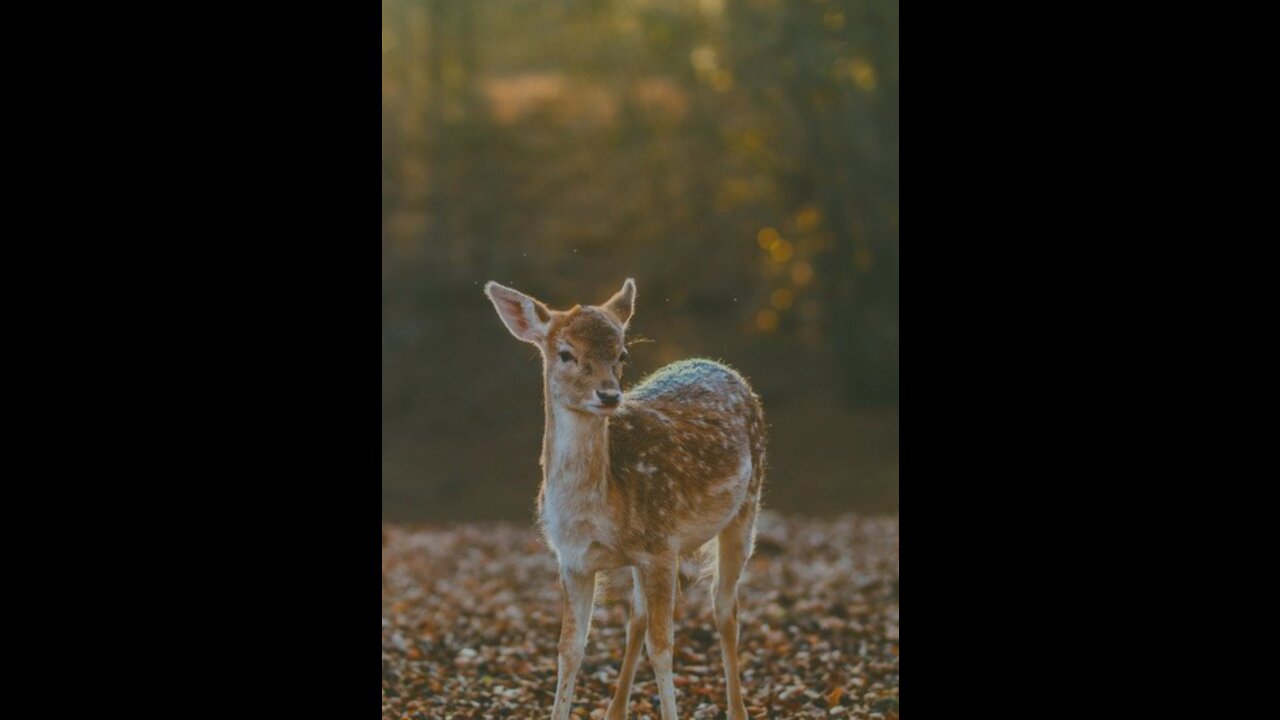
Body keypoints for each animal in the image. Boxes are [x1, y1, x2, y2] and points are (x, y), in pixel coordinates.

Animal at [483, 278, 762, 712]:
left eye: (621, 354)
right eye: (565, 353)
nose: (609, 395)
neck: (594, 513)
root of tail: (722, 366)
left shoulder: (662, 545)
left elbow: (663, 647)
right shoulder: (573, 560)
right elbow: (569, 650)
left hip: (747, 506)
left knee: (725, 608)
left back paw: (737, 710)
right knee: (637, 619)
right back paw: (615, 711)